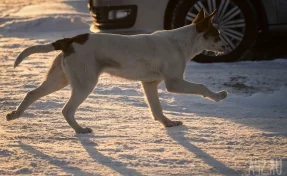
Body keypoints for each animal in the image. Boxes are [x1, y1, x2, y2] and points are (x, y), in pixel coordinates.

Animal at [5, 8, 228, 133]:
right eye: (216, 34)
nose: (226, 47)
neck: (182, 42)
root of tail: (70, 40)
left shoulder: (149, 84)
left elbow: (157, 109)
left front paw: (168, 123)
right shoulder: (174, 82)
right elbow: (202, 87)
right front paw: (218, 96)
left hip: (59, 79)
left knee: (32, 94)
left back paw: (15, 114)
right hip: (85, 83)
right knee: (67, 110)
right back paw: (80, 130)